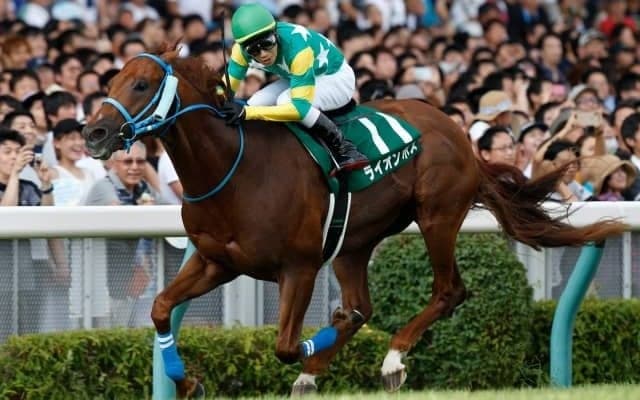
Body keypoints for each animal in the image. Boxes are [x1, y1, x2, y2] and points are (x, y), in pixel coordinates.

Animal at [82, 45, 626, 398]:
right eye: (109, 82)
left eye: (141, 83)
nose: (94, 133)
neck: (233, 170)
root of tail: (452, 127)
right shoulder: (218, 260)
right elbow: (159, 308)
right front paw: (189, 380)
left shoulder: (298, 267)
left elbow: (284, 345)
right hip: (353, 242)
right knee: (364, 304)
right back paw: (324, 365)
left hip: (437, 214)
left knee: (448, 291)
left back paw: (392, 359)